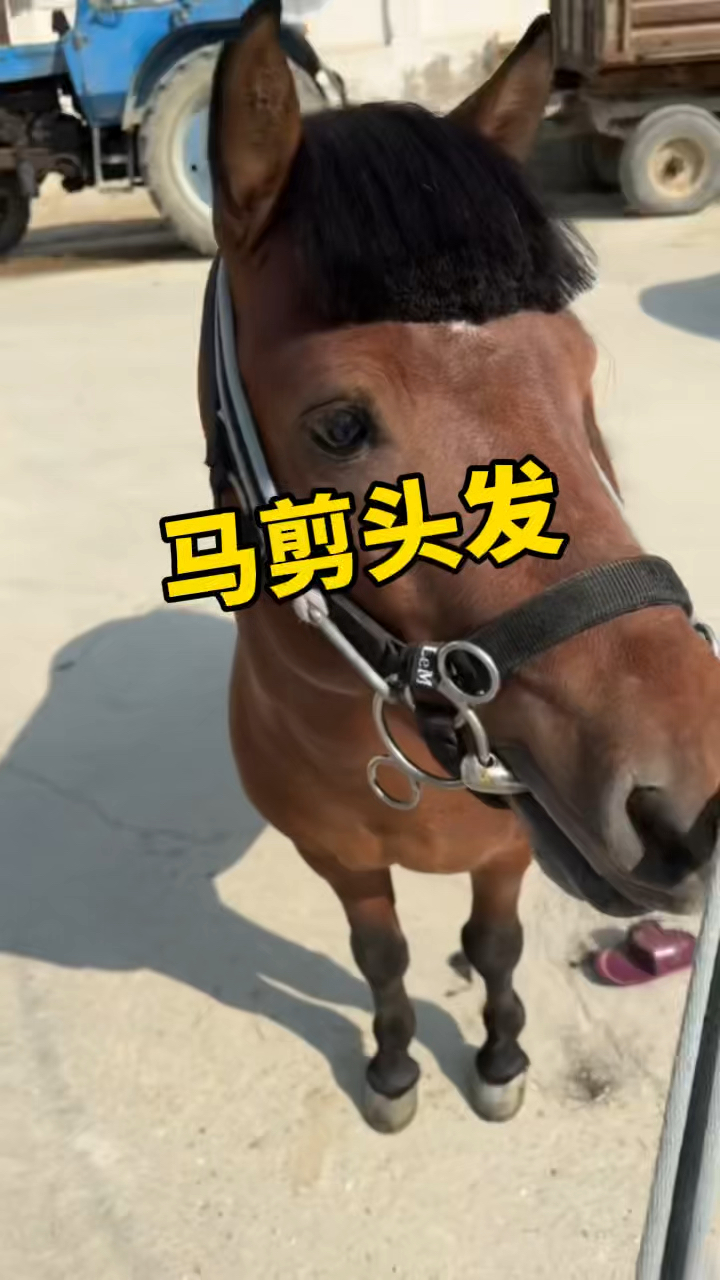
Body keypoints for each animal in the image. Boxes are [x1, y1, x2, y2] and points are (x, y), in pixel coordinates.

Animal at [195, 0, 720, 1135]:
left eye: (578, 369)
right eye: (339, 425)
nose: (696, 803)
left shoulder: (510, 853)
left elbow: (495, 946)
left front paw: (500, 1055)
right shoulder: (341, 860)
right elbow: (382, 956)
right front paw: (395, 1068)